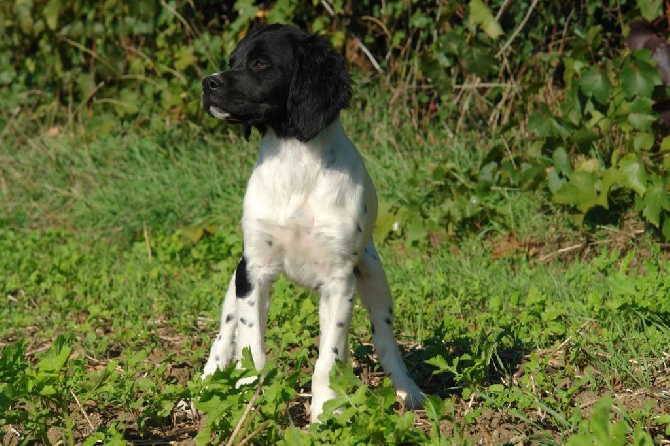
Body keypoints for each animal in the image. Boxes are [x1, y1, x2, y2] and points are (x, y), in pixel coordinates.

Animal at [200, 23, 428, 422]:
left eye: (260, 63)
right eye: (233, 60)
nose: (206, 83)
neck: (295, 161)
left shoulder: (339, 281)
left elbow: (329, 358)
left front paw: (325, 412)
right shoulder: (253, 268)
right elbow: (250, 344)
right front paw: (248, 399)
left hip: (373, 275)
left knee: (385, 341)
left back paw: (407, 390)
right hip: (237, 278)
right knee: (223, 334)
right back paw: (206, 383)